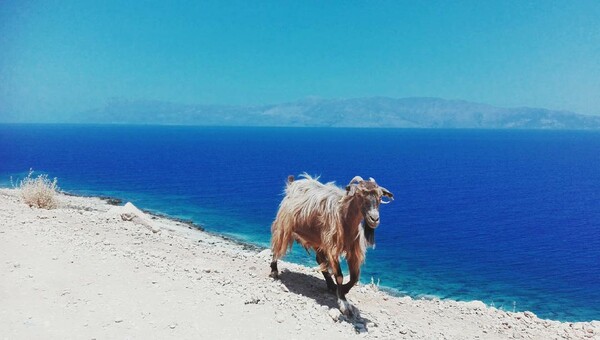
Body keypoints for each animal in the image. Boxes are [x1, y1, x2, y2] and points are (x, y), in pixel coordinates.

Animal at [268, 175, 394, 316]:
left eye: (380, 197)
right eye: (359, 194)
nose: (374, 219)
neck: (344, 217)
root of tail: (292, 185)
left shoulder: (352, 250)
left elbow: (354, 277)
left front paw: (343, 290)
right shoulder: (332, 247)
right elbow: (339, 276)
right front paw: (344, 303)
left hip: (318, 240)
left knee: (319, 259)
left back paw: (330, 285)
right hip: (284, 226)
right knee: (276, 247)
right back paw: (274, 271)